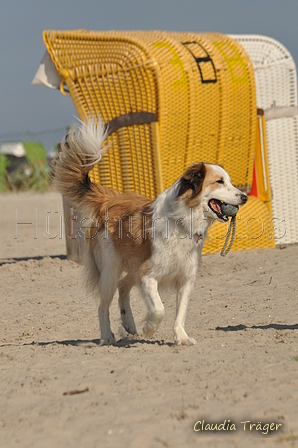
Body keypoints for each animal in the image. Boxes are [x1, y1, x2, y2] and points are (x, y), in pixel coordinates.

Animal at [53, 119, 247, 346]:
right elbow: (159, 309)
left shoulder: (185, 279)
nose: (244, 197)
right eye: (219, 182)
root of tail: (110, 199)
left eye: (230, 182)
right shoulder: (147, 276)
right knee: (103, 305)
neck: (181, 221)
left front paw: (181, 337)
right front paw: (149, 328)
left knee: (123, 286)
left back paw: (128, 323)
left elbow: (180, 312)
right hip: (110, 269)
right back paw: (107, 336)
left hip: (131, 266)